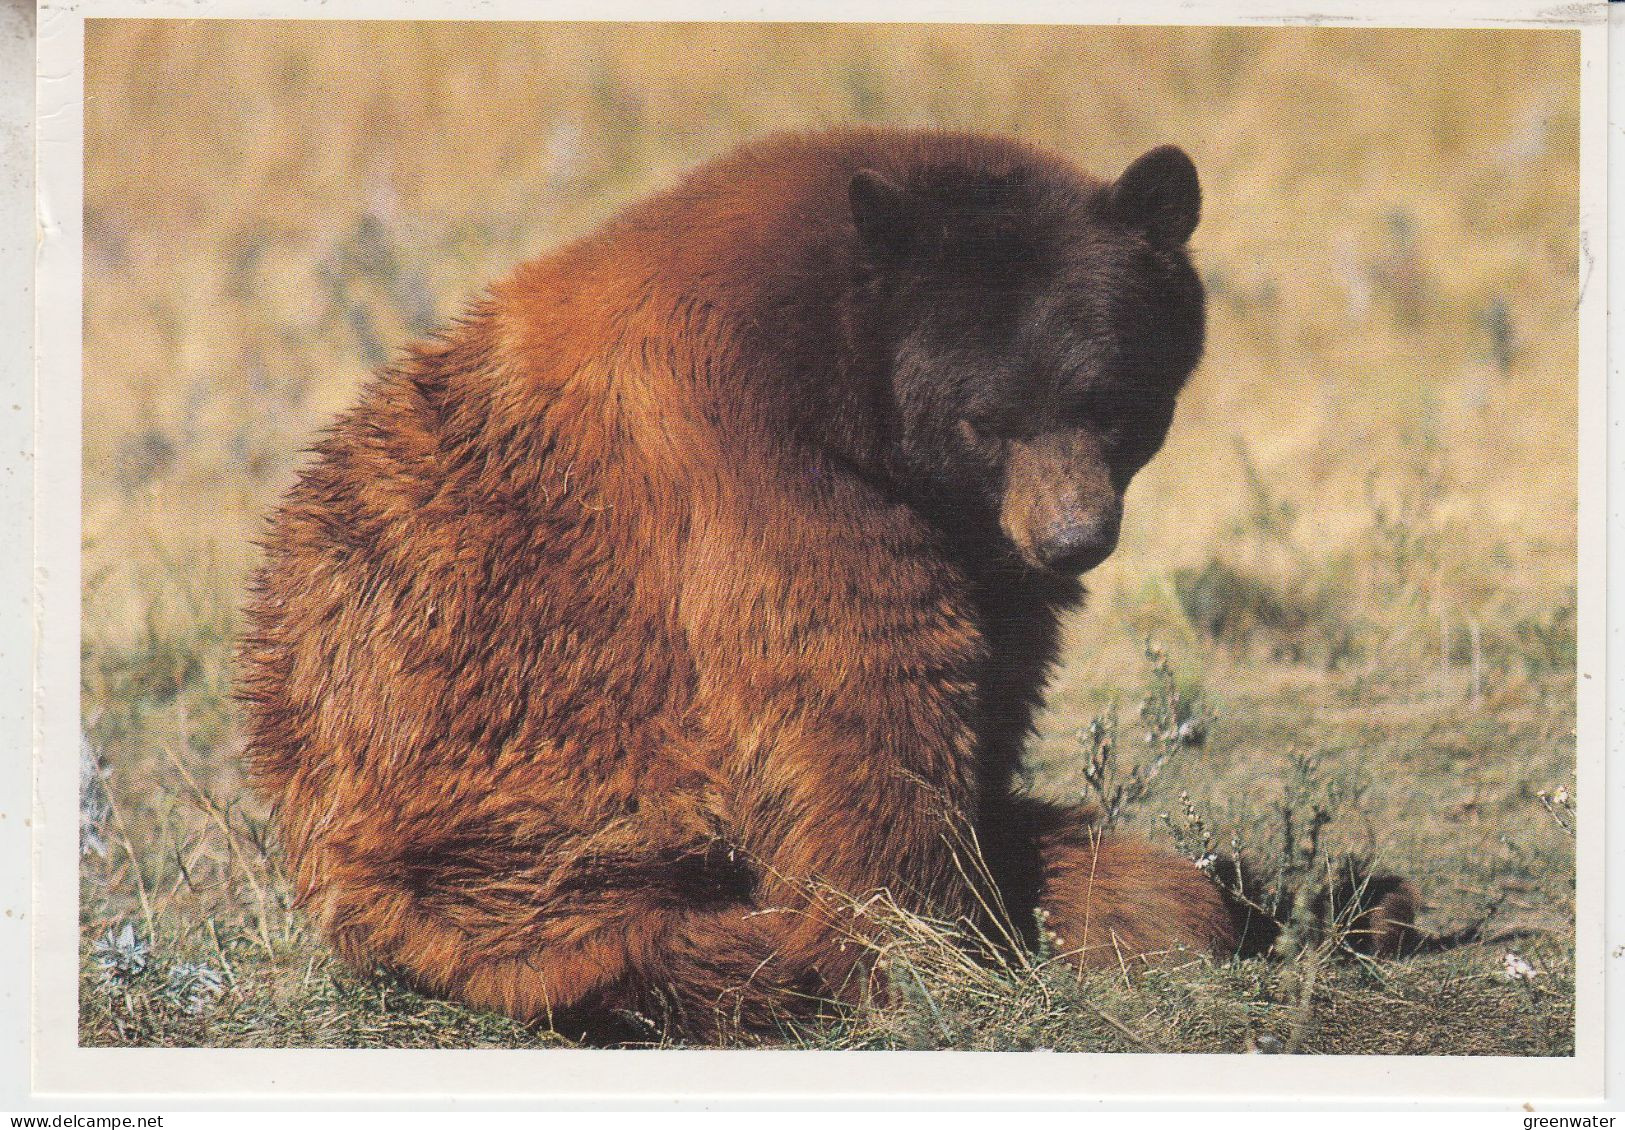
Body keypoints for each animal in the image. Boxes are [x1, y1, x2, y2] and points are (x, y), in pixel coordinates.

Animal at [240, 130, 1300, 1040]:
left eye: (1110, 400)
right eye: (986, 418)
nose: (1071, 539)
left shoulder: (977, 552)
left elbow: (984, 702)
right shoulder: (758, 470)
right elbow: (862, 709)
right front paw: (918, 956)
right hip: (497, 833)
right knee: (614, 940)